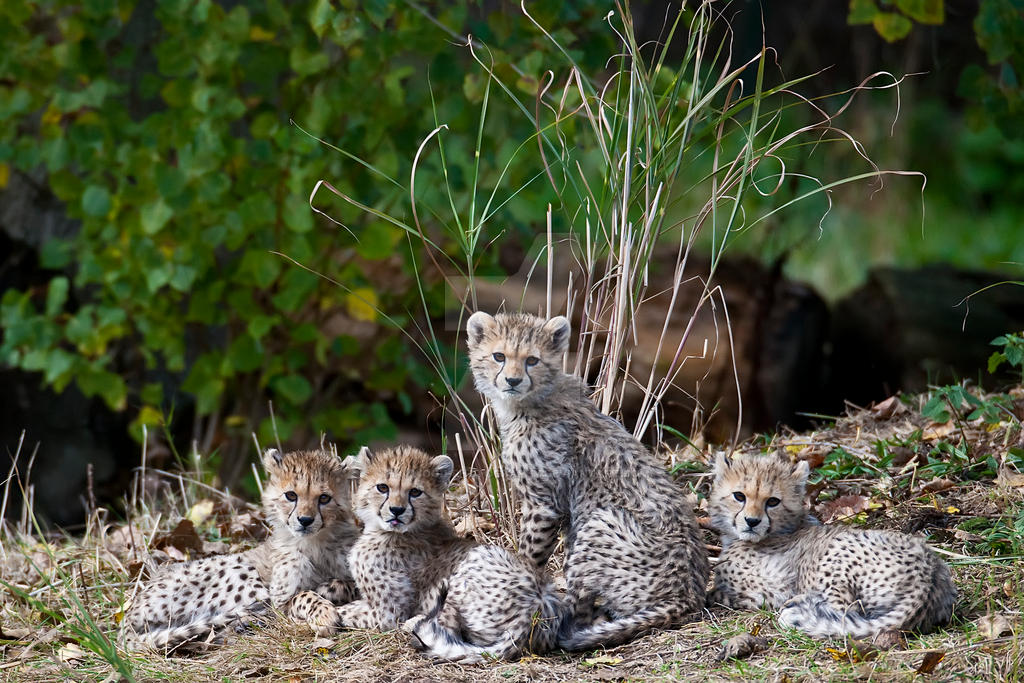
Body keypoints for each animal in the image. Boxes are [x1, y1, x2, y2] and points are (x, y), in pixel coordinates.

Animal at [121, 448, 361, 652]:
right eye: (291, 495)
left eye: (324, 498)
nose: (305, 520)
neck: (315, 542)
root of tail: (129, 614)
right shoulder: (279, 601)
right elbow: (303, 596)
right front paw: (323, 613)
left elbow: (347, 584)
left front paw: (330, 590)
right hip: (240, 573)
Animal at [336, 445, 563, 663]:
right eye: (382, 487)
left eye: (415, 492)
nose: (397, 510)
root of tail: (538, 606)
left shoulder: (387, 614)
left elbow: (346, 610)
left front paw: (331, 614)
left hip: (468, 568)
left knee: (448, 627)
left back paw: (414, 624)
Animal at [465, 311, 709, 651]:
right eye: (498, 356)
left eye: (532, 360)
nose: (512, 381)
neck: (533, 400)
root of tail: (689, 594)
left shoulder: (544, 505)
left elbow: (529, 557)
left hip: (600, 522)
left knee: (579, 610)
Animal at [708, 452, 956, 639]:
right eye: (739, 496)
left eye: (773, 501)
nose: (752, 521)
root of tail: (929, 574)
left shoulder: (766, 587)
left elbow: (721, 594)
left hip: (836, 555)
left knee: (847, 610)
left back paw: (800, 607)